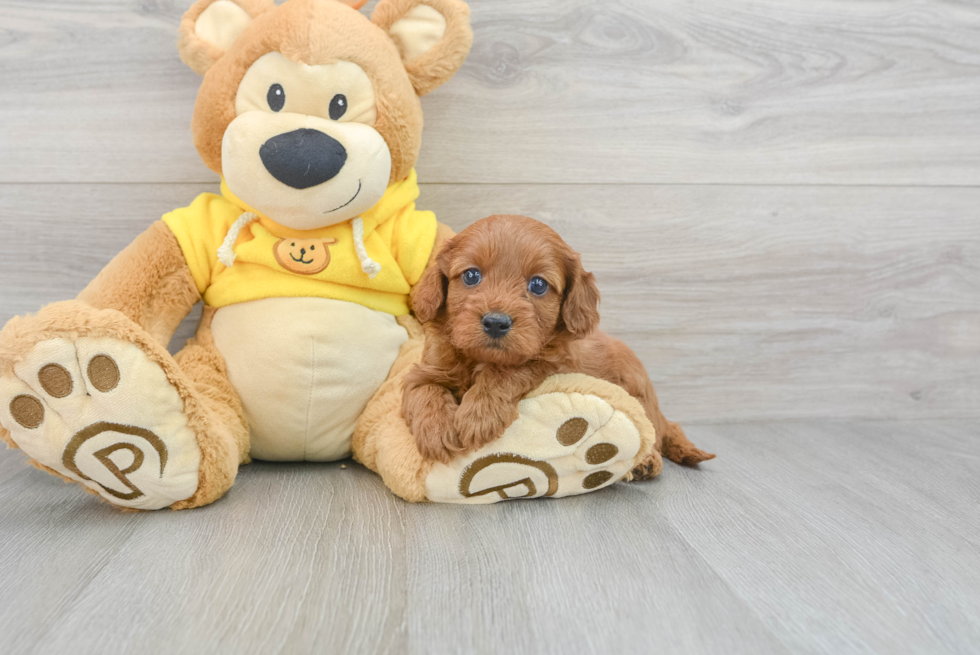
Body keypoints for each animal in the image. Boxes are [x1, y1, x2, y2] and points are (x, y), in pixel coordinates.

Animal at [402, 215, 716, 476]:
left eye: (538, 285)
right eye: (471, 275)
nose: (495, 322)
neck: (482, 358)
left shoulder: (551, 363)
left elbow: (509, 371)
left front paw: (478, 415)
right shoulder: (427, 368)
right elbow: (424, 389)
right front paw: (436, 431)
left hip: (638, 393)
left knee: (656, 429)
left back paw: (647, 461)